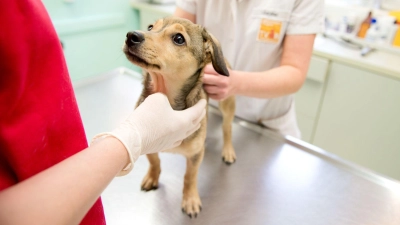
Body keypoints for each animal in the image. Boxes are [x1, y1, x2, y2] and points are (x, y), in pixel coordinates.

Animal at [123, 16, 236, 218]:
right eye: (150, 27)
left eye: (178, 38)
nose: (131, 35)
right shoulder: (148, 144)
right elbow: (154, 162)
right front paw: (152, 177)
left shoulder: (195, 156)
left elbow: (190, 177)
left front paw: (190, 200)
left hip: (227, 101)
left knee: (227, 128)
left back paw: (228, 150)